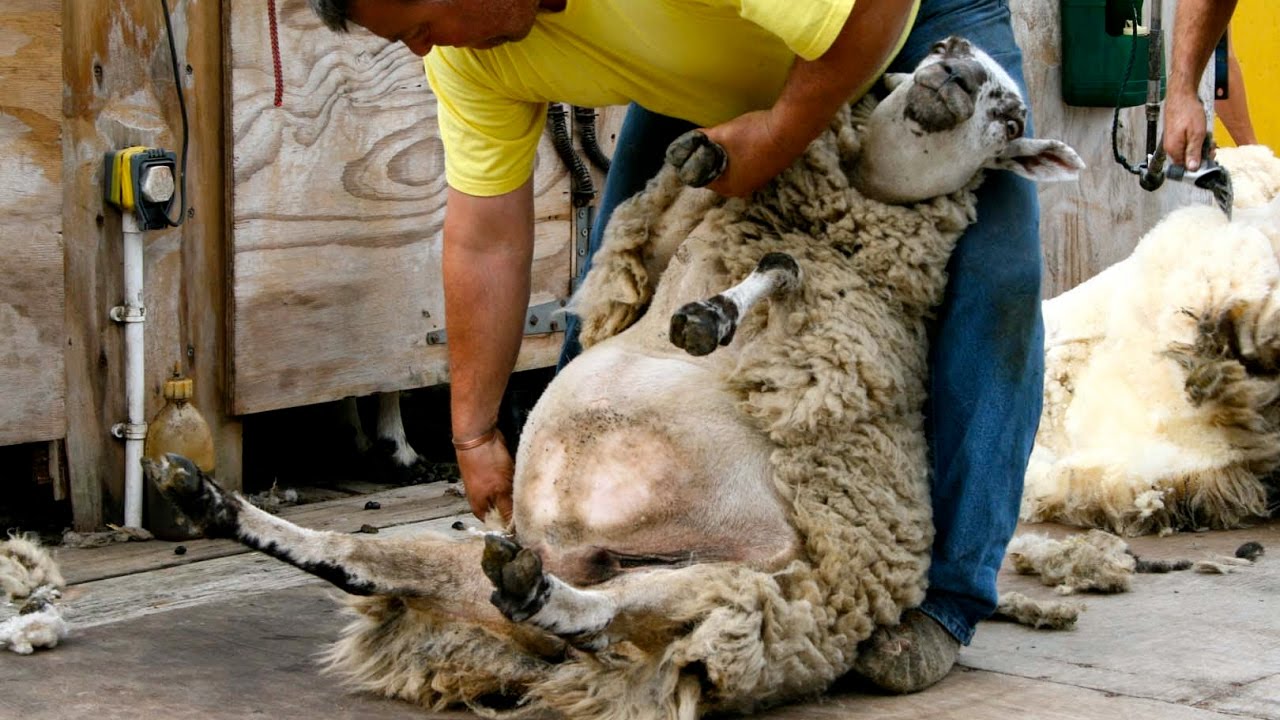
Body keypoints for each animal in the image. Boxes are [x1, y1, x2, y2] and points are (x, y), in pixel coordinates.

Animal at [145, 39, 1080, 717]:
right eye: (944, 52)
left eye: (1011, 114)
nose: (958, 70)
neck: (857, 203)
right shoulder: (666, 235)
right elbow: (685, 201)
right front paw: (703, 162)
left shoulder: (814, 301)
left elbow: (774, 274)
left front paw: (708, 321)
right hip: (496, 554)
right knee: (358, 562)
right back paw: (213, 501)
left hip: (735, 587)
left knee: (606, 615)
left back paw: (544, 596)